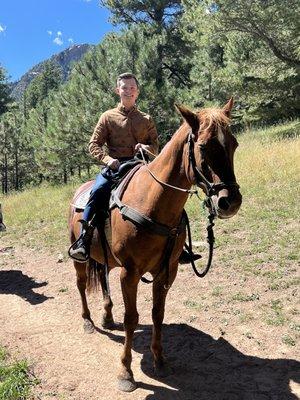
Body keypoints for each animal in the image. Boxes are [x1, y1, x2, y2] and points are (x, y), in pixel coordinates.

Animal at [68, 98, 241, 392]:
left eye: (234, 143)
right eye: (203, 146)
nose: (230, 201)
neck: (153, 202)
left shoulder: (166, 272)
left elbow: (157, 314)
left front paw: (160, 360)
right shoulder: (130, 273)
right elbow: (132, 318)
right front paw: (126, 373)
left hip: (106, 258)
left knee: (103, 279)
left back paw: (106, 316)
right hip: (80, 257)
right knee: (81, 285)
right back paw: (88, 321)